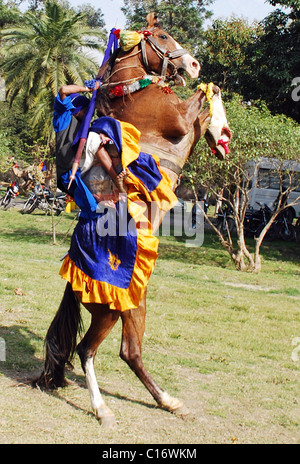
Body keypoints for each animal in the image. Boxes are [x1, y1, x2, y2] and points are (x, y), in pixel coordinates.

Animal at [35, 12, 232, 430]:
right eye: (162, 36)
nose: (193, 64)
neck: (135, 93)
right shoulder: (180, 119)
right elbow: (208, 94)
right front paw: (218, 127)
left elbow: (210, 96)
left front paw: (220, 135)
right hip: (109, 310)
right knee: (87, 350)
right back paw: (102, 409)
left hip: (134, 307)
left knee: (130, 352)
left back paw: (168, 401)